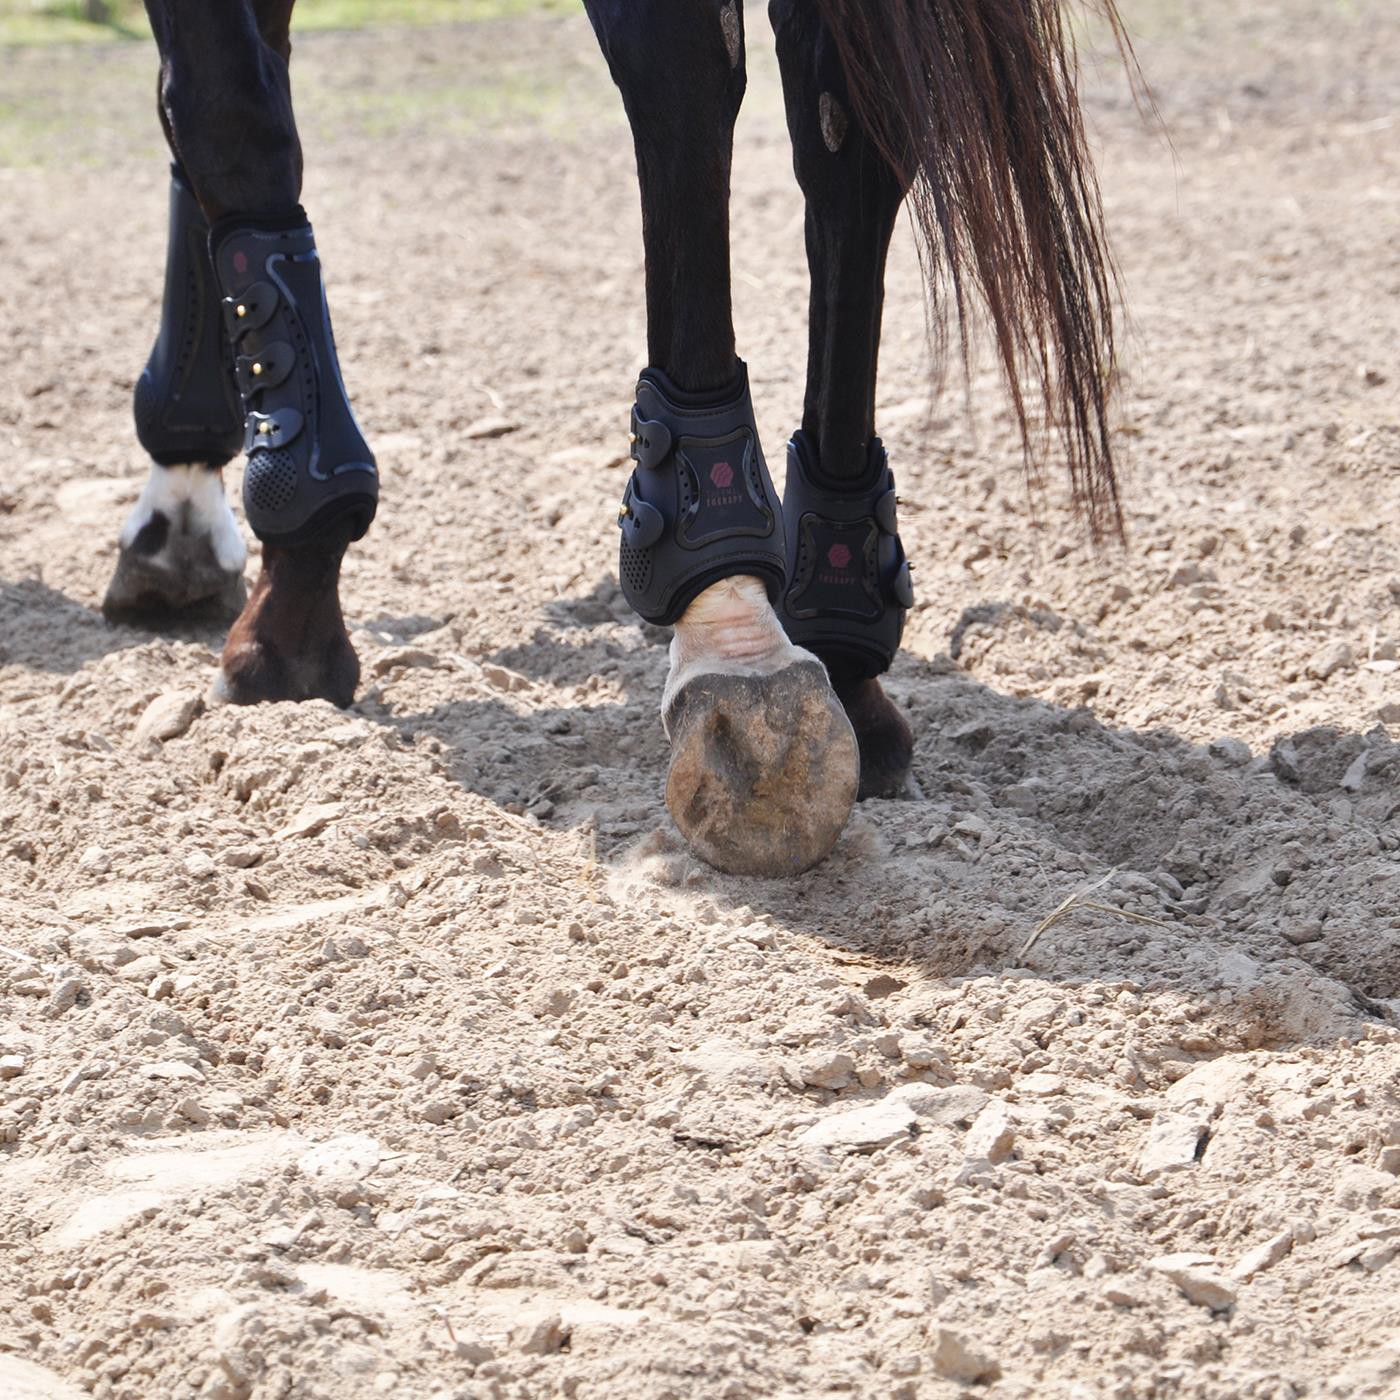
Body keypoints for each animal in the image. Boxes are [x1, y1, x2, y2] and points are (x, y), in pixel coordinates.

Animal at [103, 0, 1120, 873]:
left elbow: (224, 119)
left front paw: (275, 595)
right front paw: (185, 507)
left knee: (684, 69)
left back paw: (735, 645)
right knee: (847, 128)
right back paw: (840, 649)